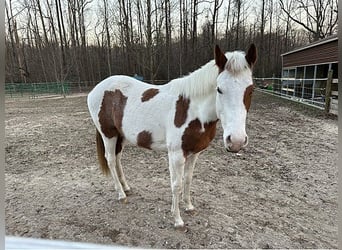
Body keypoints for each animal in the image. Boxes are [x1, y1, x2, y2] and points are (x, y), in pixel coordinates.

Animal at [87, 44, 258, 229]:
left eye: (251, 90)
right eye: (219, 89)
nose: (236, 141)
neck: (193, 110)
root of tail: (96, 89)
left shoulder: (195, 153)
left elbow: (188, 180)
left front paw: (189, 206)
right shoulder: (176, 154)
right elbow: (176, 185)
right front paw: (177, 219)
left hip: (121, 136)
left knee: (118, 159)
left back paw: (126, 187)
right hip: (108, 134)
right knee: (111, 159)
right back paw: (121, 194)